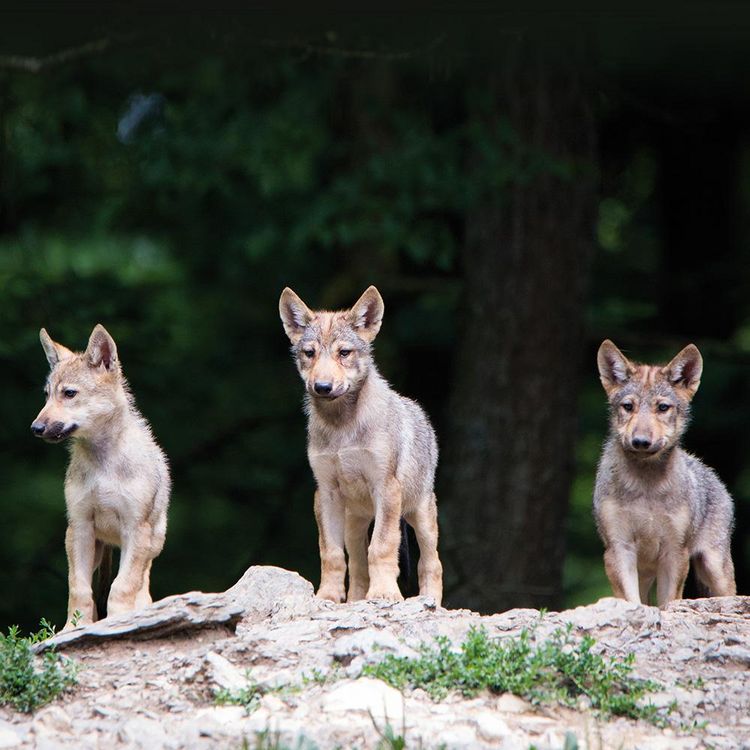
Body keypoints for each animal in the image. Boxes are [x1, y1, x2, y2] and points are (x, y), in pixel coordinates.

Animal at [31, 324, 170, 629]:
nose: (36, 427)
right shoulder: (79, 527)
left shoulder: (135, 529)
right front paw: (73, 627)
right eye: (46, 395)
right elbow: (79, 588)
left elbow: (123, 586)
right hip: (95, 547)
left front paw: (120, 620)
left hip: (152, 541)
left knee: (142, 580)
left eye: (69, 393)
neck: (103, 465)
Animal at [279, 286, 443, 604]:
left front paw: (384, 593)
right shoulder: (325, 493)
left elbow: (381, 547)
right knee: (357, 565)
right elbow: (331, 554)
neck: (342, 428)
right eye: (309, 353)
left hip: (420, 515)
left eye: (344, 353)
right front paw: (328, 596)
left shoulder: (386, 489)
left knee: (431, 563)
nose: (322, 387)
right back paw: (355, 600)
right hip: (353, 522)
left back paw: (431, 602)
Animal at [594, 339, 736, 607]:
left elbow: (669, 602)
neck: (645, 487)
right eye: (628, 407)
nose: (640, 441)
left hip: (715, 570)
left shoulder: (675, 552)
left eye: (662, 408)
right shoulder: (619, 549)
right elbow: (632, 601)